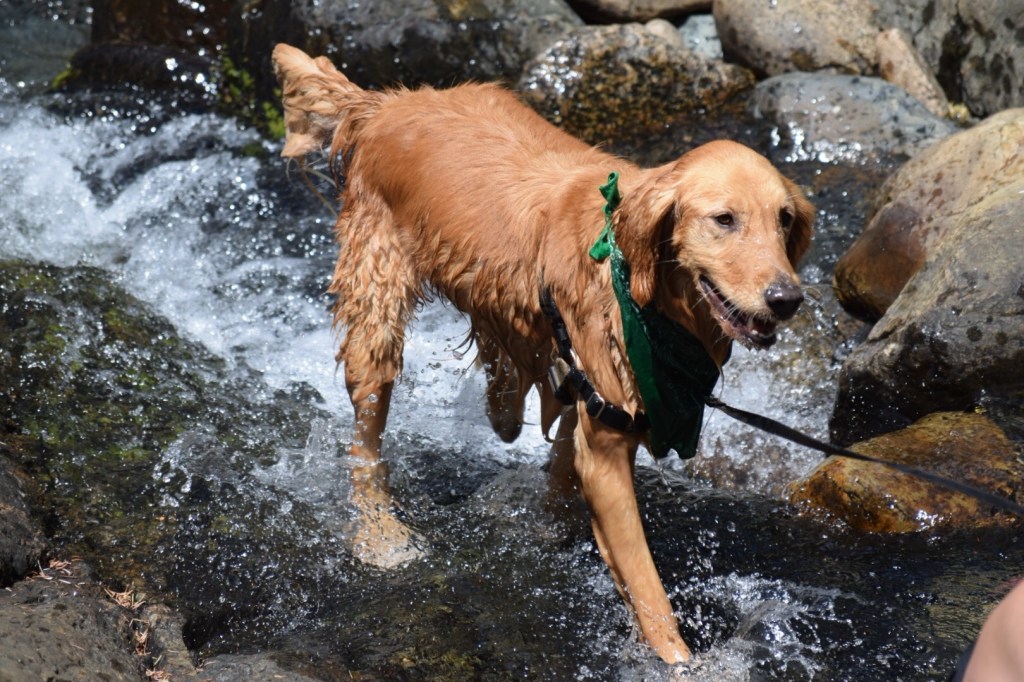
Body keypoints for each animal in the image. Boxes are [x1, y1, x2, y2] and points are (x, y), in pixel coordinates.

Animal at [272, 43, 813, 664]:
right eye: (724, 219)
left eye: (785, 220)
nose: (787, 299)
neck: (635, 284)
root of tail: (385, 104)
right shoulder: (608, 442)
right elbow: (648, 588)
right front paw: (681, 664)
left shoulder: (598, 394)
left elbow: (564, 470)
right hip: (376, 311)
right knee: (366, 440)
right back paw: (379, 536)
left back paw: (503, 407)